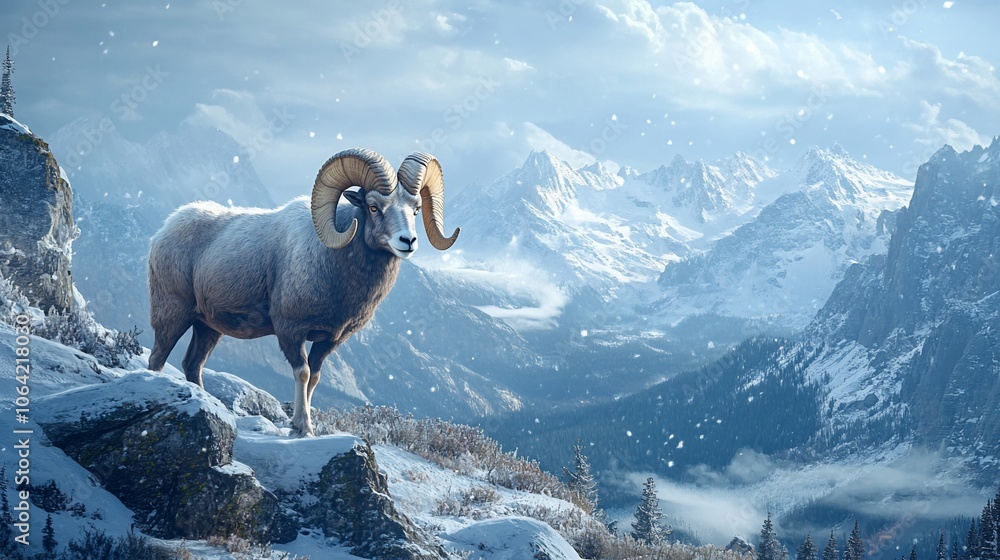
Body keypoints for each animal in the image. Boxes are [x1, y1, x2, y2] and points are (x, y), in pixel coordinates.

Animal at [146, 148, 460, 436]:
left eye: (415, 209)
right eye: (373, 207)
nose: (408, 241)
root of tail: (163, 231)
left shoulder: (329, 340)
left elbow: (315, 378)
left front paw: (302, 427)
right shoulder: (290, 330)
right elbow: (303, 373)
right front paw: (303, 428)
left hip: (208, 327)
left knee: (192, 365)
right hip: (173, 314)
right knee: (157, 359)